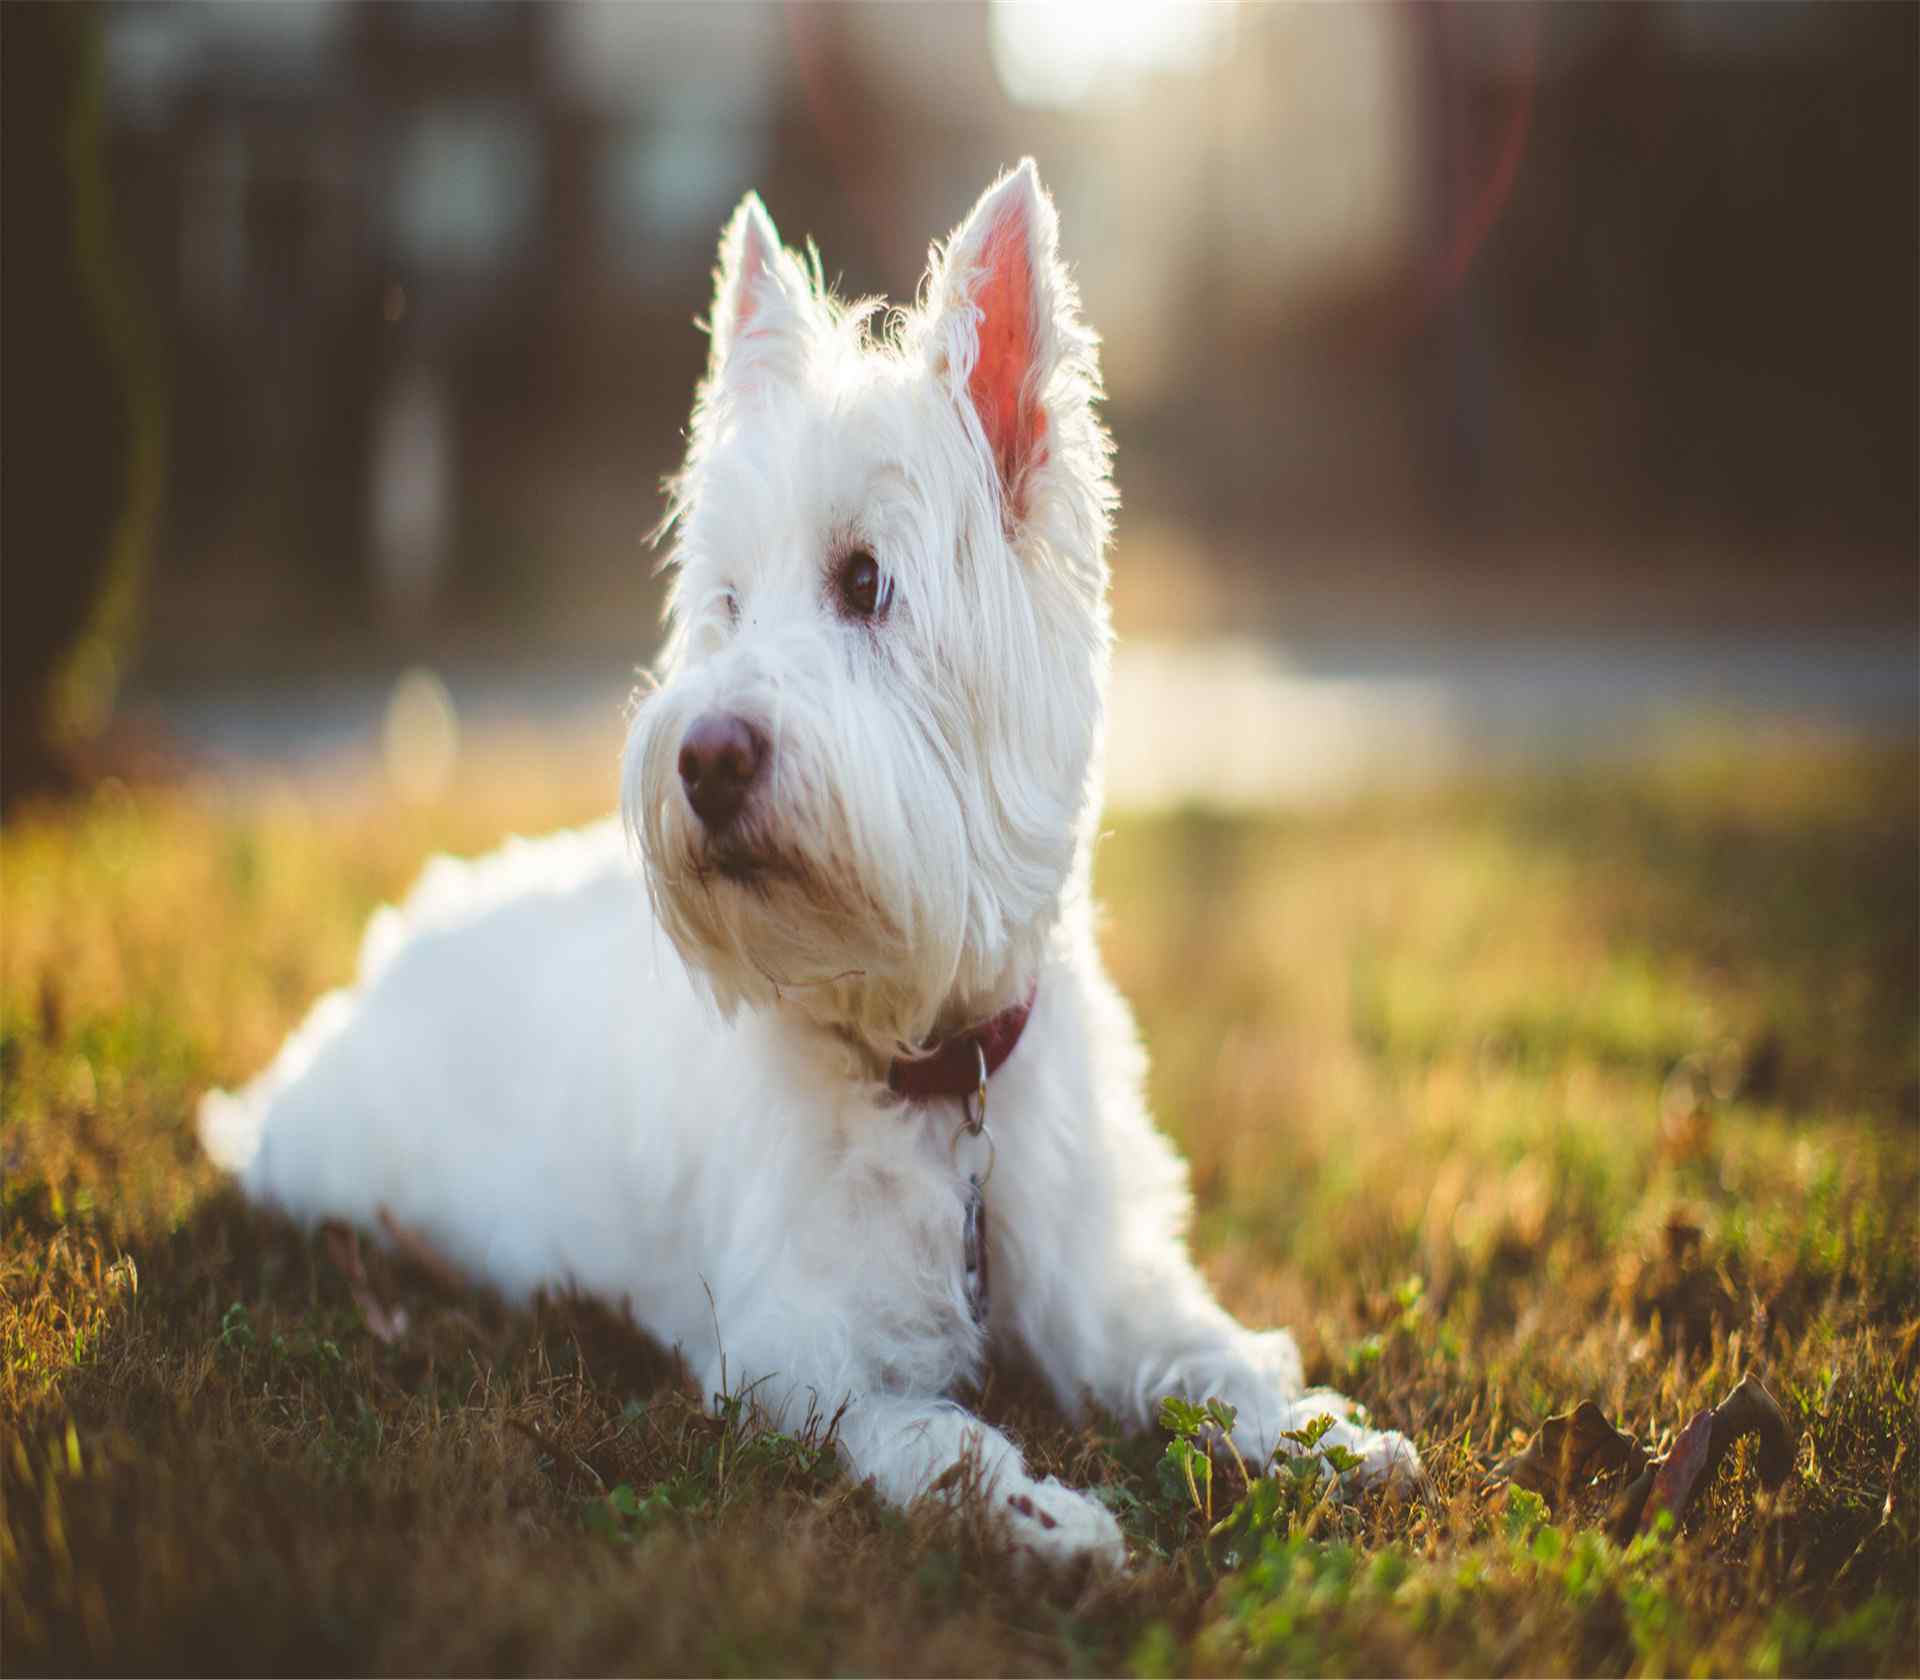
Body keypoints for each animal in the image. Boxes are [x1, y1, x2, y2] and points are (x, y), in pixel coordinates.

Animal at [202, 164, 1420, 1566]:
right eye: (726, 604)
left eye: (864, 580)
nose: (707, 757)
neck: (928, 1066)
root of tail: (382, 957)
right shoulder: (800, 1355)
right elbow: (939, 1435)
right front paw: (1048, 1518)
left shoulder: (1103, 1280)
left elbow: (1208, 1355)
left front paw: (1326, 1437)